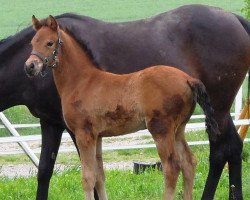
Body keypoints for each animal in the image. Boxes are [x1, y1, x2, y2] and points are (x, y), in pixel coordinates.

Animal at [1, 3, 250, 200]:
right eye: (33, 42)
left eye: (50, 43)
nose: (30, 67)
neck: (84, 79)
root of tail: (188, 79)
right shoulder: (83, 132)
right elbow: (94, 176)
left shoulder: (81, 133)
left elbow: (87, 176)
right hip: (185, 125)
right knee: (198, 159)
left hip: (176, 124)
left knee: (185, 163)